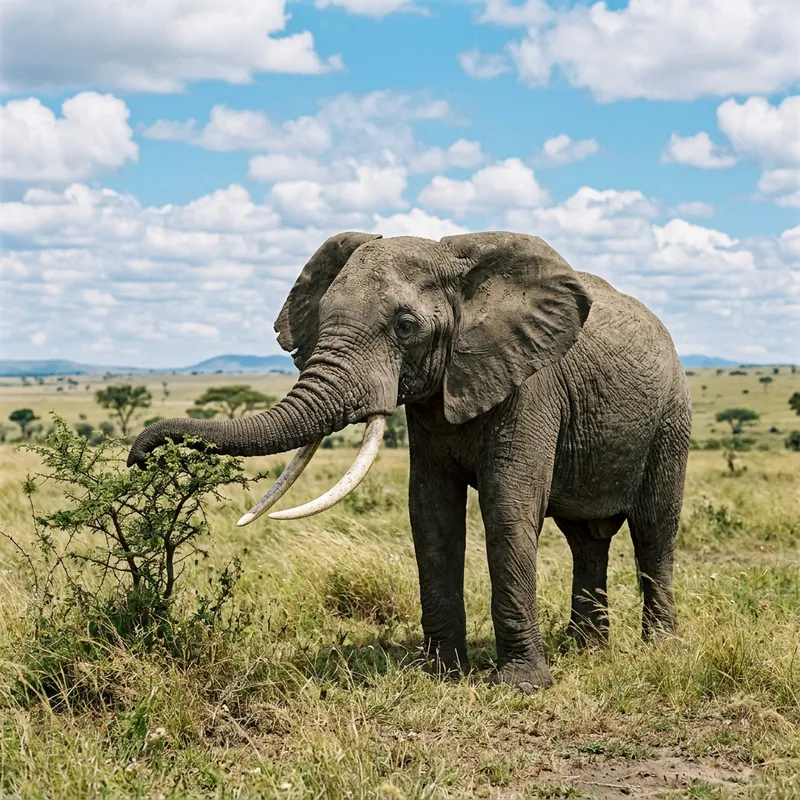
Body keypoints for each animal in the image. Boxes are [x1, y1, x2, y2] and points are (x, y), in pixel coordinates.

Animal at [129, 231, 692, 691]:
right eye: (323, 317)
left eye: (405, 326)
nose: (139, 456)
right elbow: (430, 515)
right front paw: (443, 675)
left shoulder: (531, 384)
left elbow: (508, 510)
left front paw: (522, 687)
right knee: (587, 538)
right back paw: (587, 650)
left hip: (671, 416)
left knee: (653, 530)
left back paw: (659, 650)